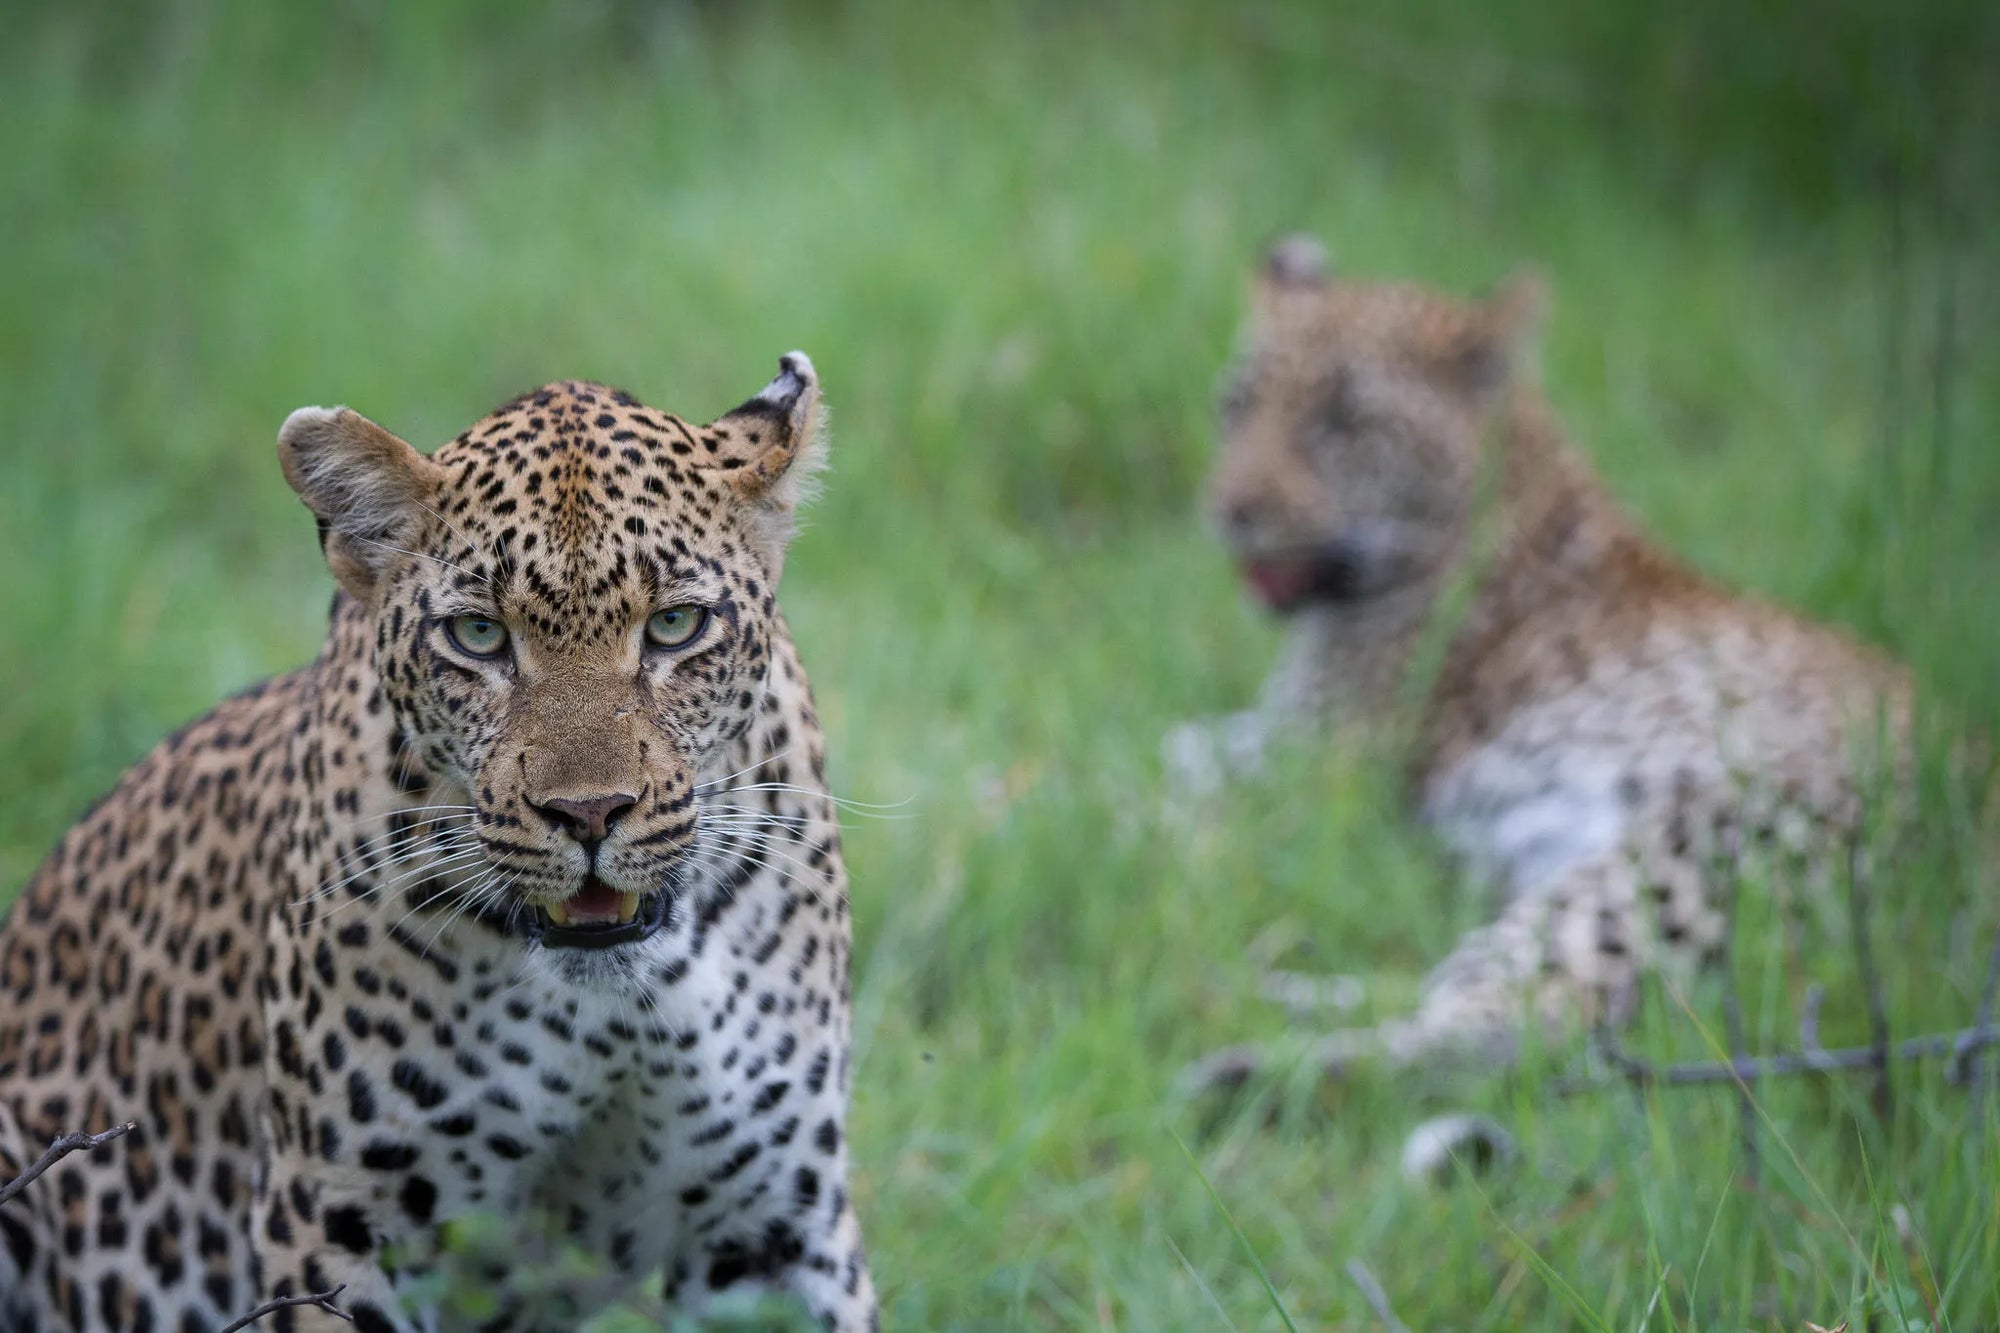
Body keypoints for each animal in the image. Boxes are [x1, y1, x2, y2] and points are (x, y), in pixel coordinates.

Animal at [0, 355, 877, 1330]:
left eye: (676, 626)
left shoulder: (773, 1228)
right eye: (479, 635)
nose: (590, 813)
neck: (607, 1010)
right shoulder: (341, 1221)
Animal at [1170, 237, 1912, 1096]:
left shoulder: (1319, 754)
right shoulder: (1287, 733)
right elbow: (1171, 749)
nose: (1229, 508)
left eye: (1343, 422)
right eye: (1238, 405)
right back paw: (1257, 978)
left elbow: (1147, 770)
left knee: (1520, 1024)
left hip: (1672, 861)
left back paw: (1245, 1067)